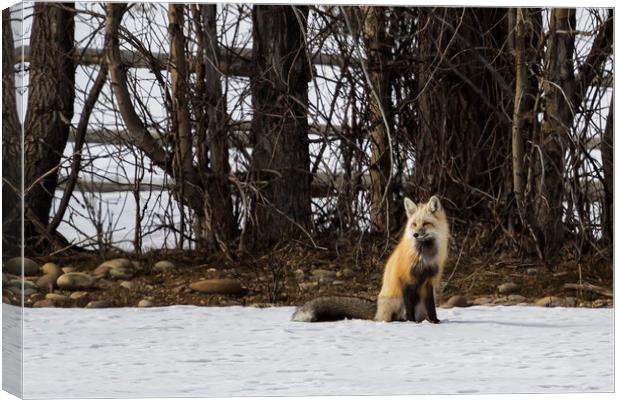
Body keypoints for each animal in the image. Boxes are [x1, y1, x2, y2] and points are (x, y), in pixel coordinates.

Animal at [294, 195, 448, 324]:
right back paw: (401, 320)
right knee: (393, 317)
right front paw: (411, 322)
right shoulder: (406, 279)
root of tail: (377, 309)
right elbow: (409, 308)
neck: (424, 256)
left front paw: (435, 321)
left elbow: (431, 307)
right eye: (414, 224)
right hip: (395, 301)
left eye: (426, 223)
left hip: (418, 304)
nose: (415, 234)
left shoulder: (429, 281)